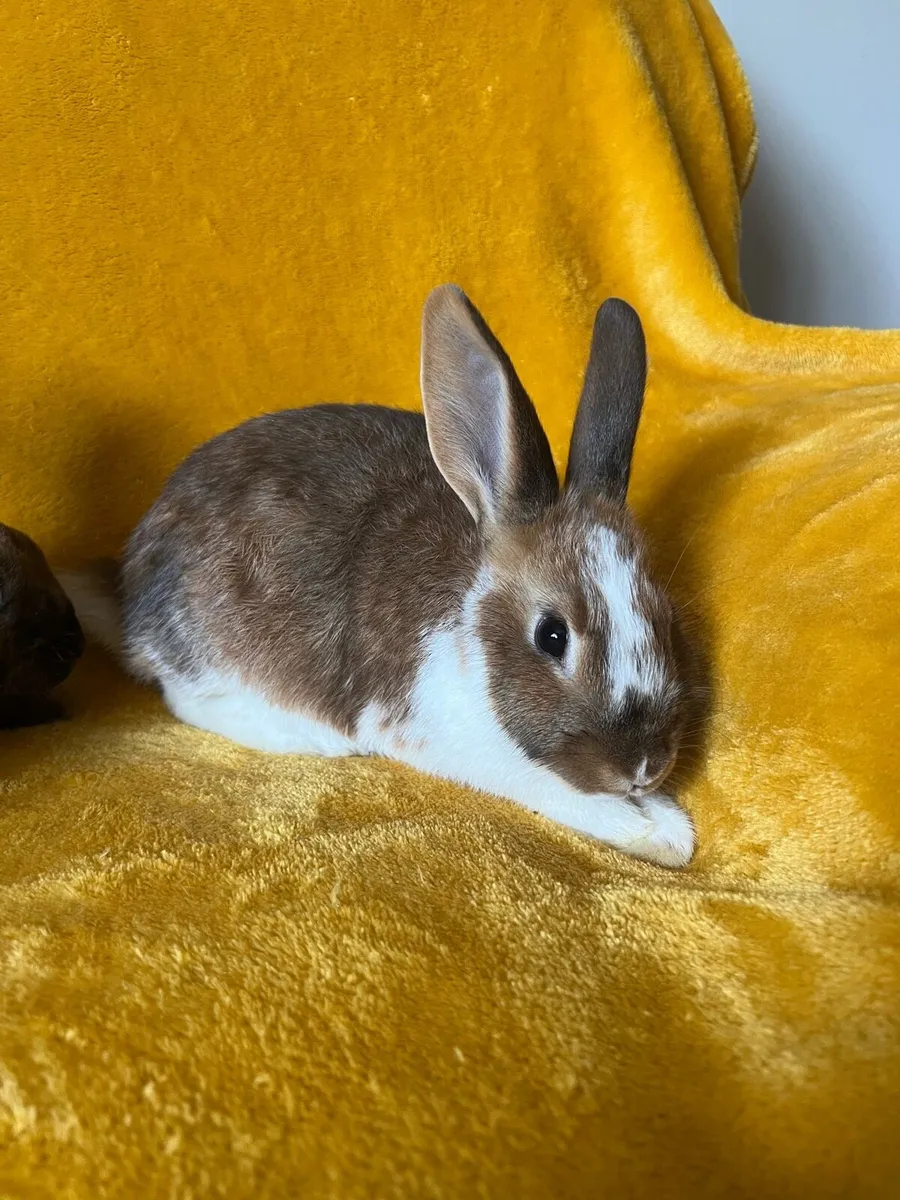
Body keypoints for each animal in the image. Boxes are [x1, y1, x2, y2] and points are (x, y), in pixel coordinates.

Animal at [63, 286, 696, 867]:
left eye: (665, 618)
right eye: (552, 635)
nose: (644, 766)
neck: (471, 625)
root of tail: (130, 590)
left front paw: (666, 818)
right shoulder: (450, 737)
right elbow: (547, 783)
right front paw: (654, 832)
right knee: (184, 700)